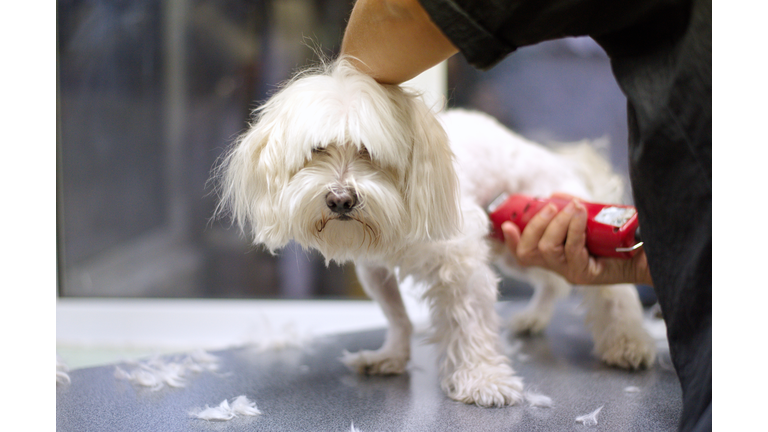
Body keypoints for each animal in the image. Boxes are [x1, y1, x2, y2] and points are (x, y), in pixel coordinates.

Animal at [214, 58, 656, 408]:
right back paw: (534, 317)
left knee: (609, 289)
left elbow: (470, 323)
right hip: (522, 244)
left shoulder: (462, 265)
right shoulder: (374, 271)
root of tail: (560, 160)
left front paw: (481, 380)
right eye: (317, 150)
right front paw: (391, 356)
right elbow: (397, 317)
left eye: (368, 152)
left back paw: (628, 343)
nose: (340, 200)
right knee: (553, 282)